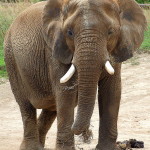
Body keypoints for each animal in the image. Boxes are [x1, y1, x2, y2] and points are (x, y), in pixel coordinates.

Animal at [3, 0, 146, 149]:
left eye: (111, 32)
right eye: (69, 32)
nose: (86, 134)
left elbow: (111, 91)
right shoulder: (55, 50)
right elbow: (65, 94)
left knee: (51, 109)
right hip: (11, 59)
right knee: (26, 106)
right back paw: (31, 147)